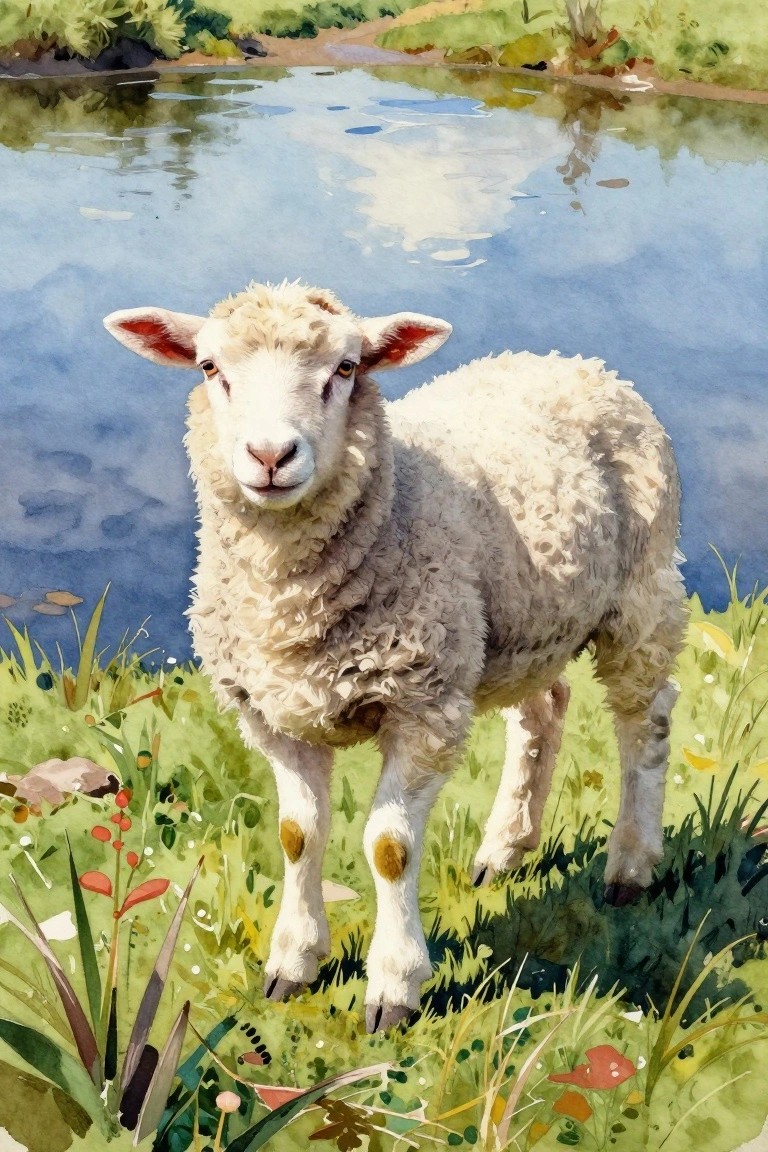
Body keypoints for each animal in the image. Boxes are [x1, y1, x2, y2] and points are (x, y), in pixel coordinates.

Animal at [103, 280, 687, 1033]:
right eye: (210, 368)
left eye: (346, 369)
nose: (270, 455)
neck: (289, 603)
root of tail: (571, 361)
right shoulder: (272, 715)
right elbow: (297, 835)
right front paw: (292, 962)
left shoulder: (424, 704)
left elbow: (389, 847)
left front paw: (393, 985)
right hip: (514, 624)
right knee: (543, 711)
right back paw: (505, 846)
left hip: (640, 595)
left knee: (647, 720)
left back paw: (631, 866)